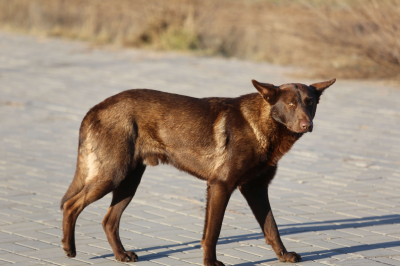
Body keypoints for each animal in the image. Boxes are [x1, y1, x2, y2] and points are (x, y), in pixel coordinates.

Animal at [61, 78, 338, 264]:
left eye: (310, 103)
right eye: (290, 104)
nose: (307, 124)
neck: (262, 124)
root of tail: (95, 109)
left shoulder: (255, 189)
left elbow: (272, 228)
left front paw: (283, 255)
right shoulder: (220, 185)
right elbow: (212, 232)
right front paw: (210, 263)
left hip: (129, 181)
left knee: (109, 220)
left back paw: (120, 255)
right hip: (112, 175)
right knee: (71, 205)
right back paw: (69, 248)